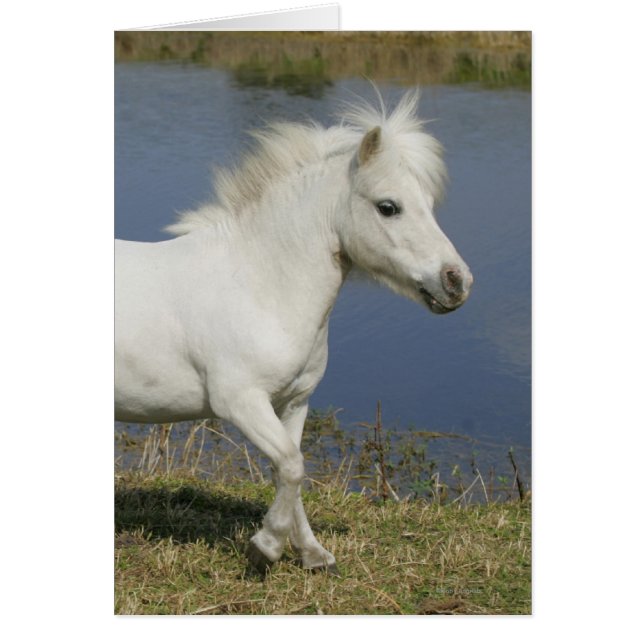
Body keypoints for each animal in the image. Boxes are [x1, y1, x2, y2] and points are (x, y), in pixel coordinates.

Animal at [115, 89, 473, 574]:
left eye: (429, 205)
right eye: (388, 207)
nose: (457, 282)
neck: (258, 282)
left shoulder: (293, 402)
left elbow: (291, 470)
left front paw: (312, 555)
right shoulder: (241, 402)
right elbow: (291, 465)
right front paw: (264, 548)